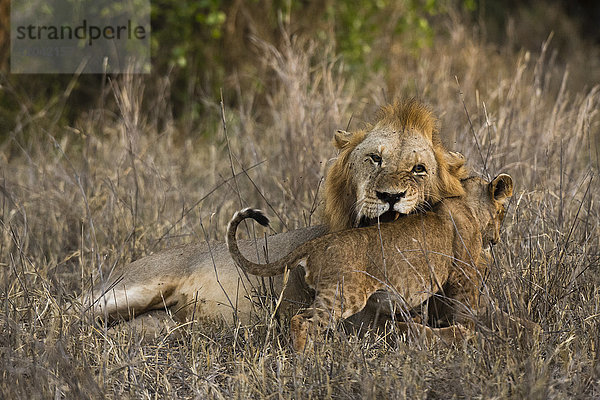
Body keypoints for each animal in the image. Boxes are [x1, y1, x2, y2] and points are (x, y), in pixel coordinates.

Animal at [84, 99, 468, 328]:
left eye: (419, 169)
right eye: (375, 158)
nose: (390, 196)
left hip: (163, 325)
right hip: (132, 288)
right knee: (76, 312)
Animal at [227, 175, 512, 350]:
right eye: (503, 212)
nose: (498, 238)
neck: (466, 204)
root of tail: (315, 244)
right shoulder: (464, 274)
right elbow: (466, 312)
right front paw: (469, 333)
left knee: (304, 319)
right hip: (343, 295)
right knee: (303, 321)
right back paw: (304, 361)